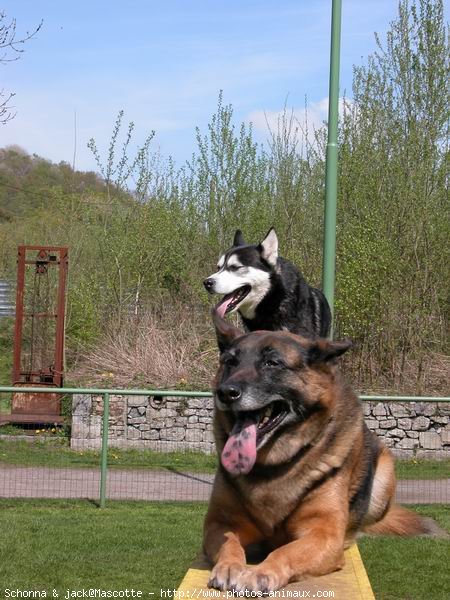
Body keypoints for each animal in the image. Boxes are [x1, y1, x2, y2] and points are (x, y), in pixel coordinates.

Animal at [203, 312, 442, 592]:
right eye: (230, 362)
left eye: (272, 363)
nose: (226, 393)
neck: (272, 467)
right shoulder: (220, 523)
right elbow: (229, 543)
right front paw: (230, 566)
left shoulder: (323, 533)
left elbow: (286, 551)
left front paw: (260, 572)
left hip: (384, 473)